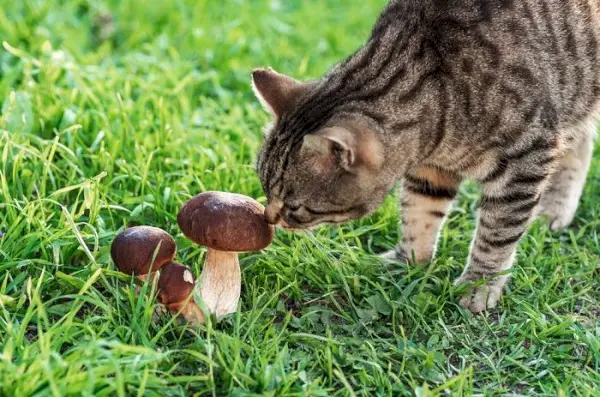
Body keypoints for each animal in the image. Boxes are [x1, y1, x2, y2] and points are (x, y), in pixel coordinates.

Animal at [251, 0, 596, 312]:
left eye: (296, 207)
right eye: (264, 187)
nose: (267, 218)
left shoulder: (524, 160)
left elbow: (496, 233)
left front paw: (479, 283)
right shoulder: (430, 170)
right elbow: (418, 214)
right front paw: (407, 261)